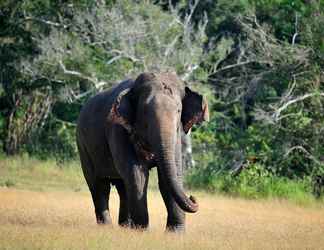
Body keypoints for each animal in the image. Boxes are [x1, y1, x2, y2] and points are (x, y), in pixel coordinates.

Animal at [76, 71, 209, 231]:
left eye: (178, 110)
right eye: (145, 111)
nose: (193, 197)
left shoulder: (177, 137)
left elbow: (171, 174)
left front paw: (175, 232)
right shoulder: (118, 129)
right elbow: (137, 174)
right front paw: (141, 230)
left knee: (123, 186)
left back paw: (125, 227)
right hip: (83, 146)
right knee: (99, 185)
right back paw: (107, 227)